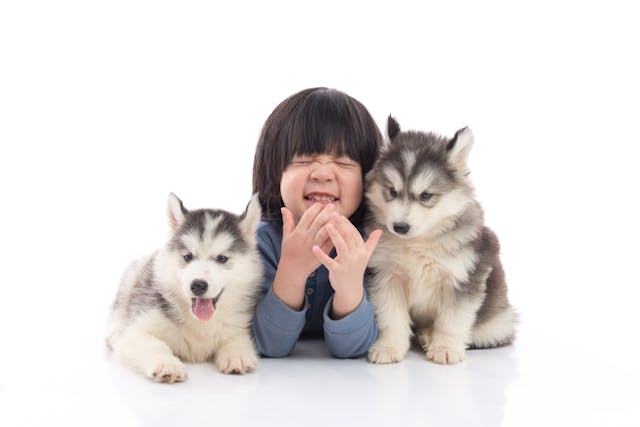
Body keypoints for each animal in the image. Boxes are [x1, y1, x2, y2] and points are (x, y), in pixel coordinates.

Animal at [106, 194, 262, 384]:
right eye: (188, 256)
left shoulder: (237, 326)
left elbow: (237, 339)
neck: (201, 323)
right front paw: (167, 365)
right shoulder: (136, 329)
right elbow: (153, 344)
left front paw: (236, 354)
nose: (198, 285)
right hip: (132, 277)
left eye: (222, 258)